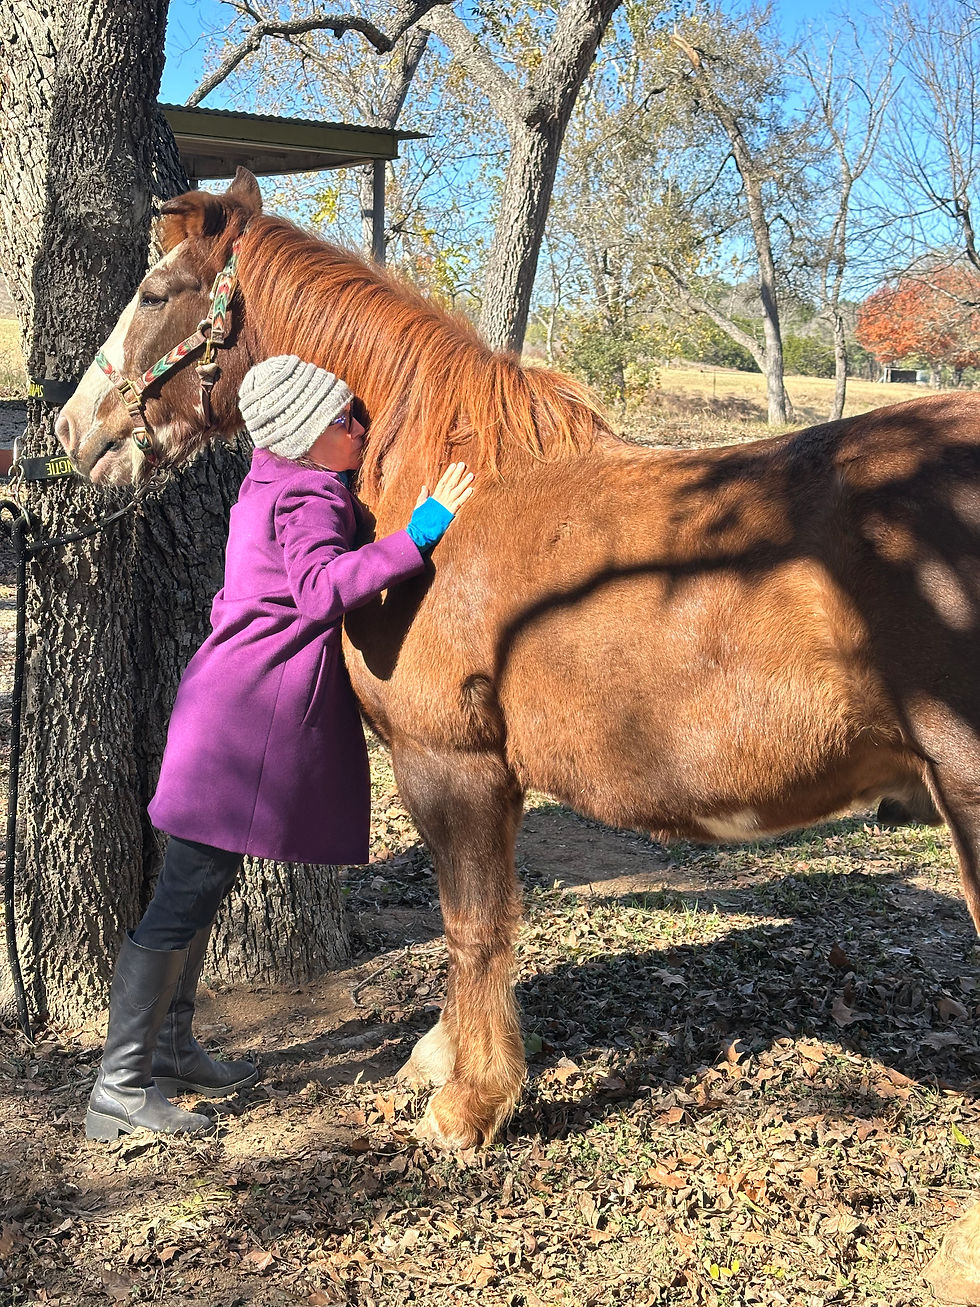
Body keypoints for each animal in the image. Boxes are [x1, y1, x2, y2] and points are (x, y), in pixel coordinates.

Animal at [57, 168, 980, 1149]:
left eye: (156, 294)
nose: (71, 430)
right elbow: (484, 918)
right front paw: (444, 1053)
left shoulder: (449, 761)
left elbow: (474, 924)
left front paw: (469, 1102)